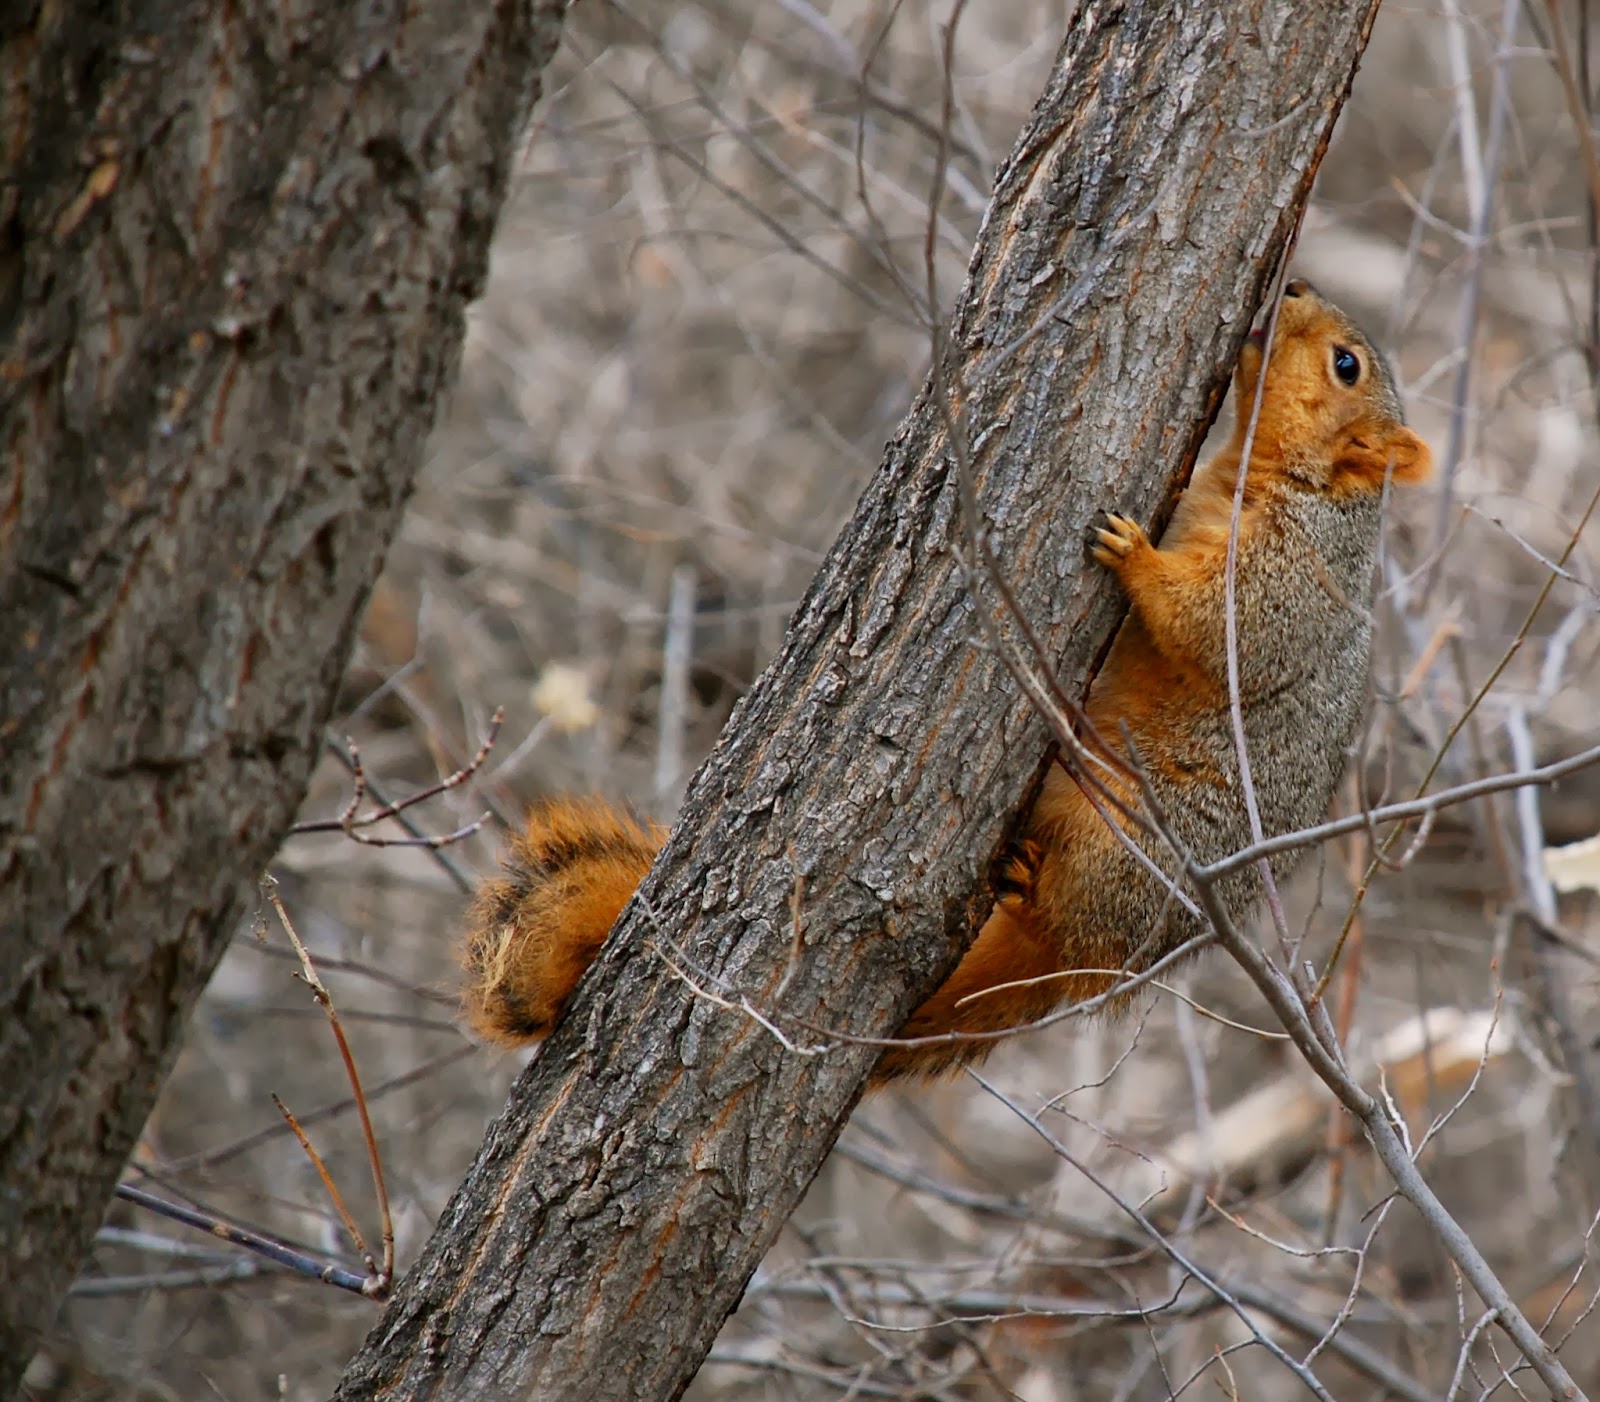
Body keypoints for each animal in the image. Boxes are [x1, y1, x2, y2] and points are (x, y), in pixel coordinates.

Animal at [457, 281, 1433, 1081]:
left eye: (1346, 365)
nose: (1295, 284)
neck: (1285, 482)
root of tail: (1121, 966)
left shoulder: (1289, 581)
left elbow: (1217, 630)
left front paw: (1134, 557)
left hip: (1132, 851)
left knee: (1071, 915)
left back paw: (1030, 883)